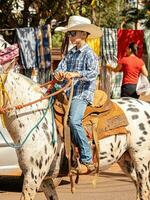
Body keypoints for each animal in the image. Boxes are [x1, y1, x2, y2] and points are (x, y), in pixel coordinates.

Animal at [0, 71, 150, 199]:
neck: (34, 120)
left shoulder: (33, 175)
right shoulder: (46, 179)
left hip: (141, 159)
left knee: (144, 190)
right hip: (125, 160)